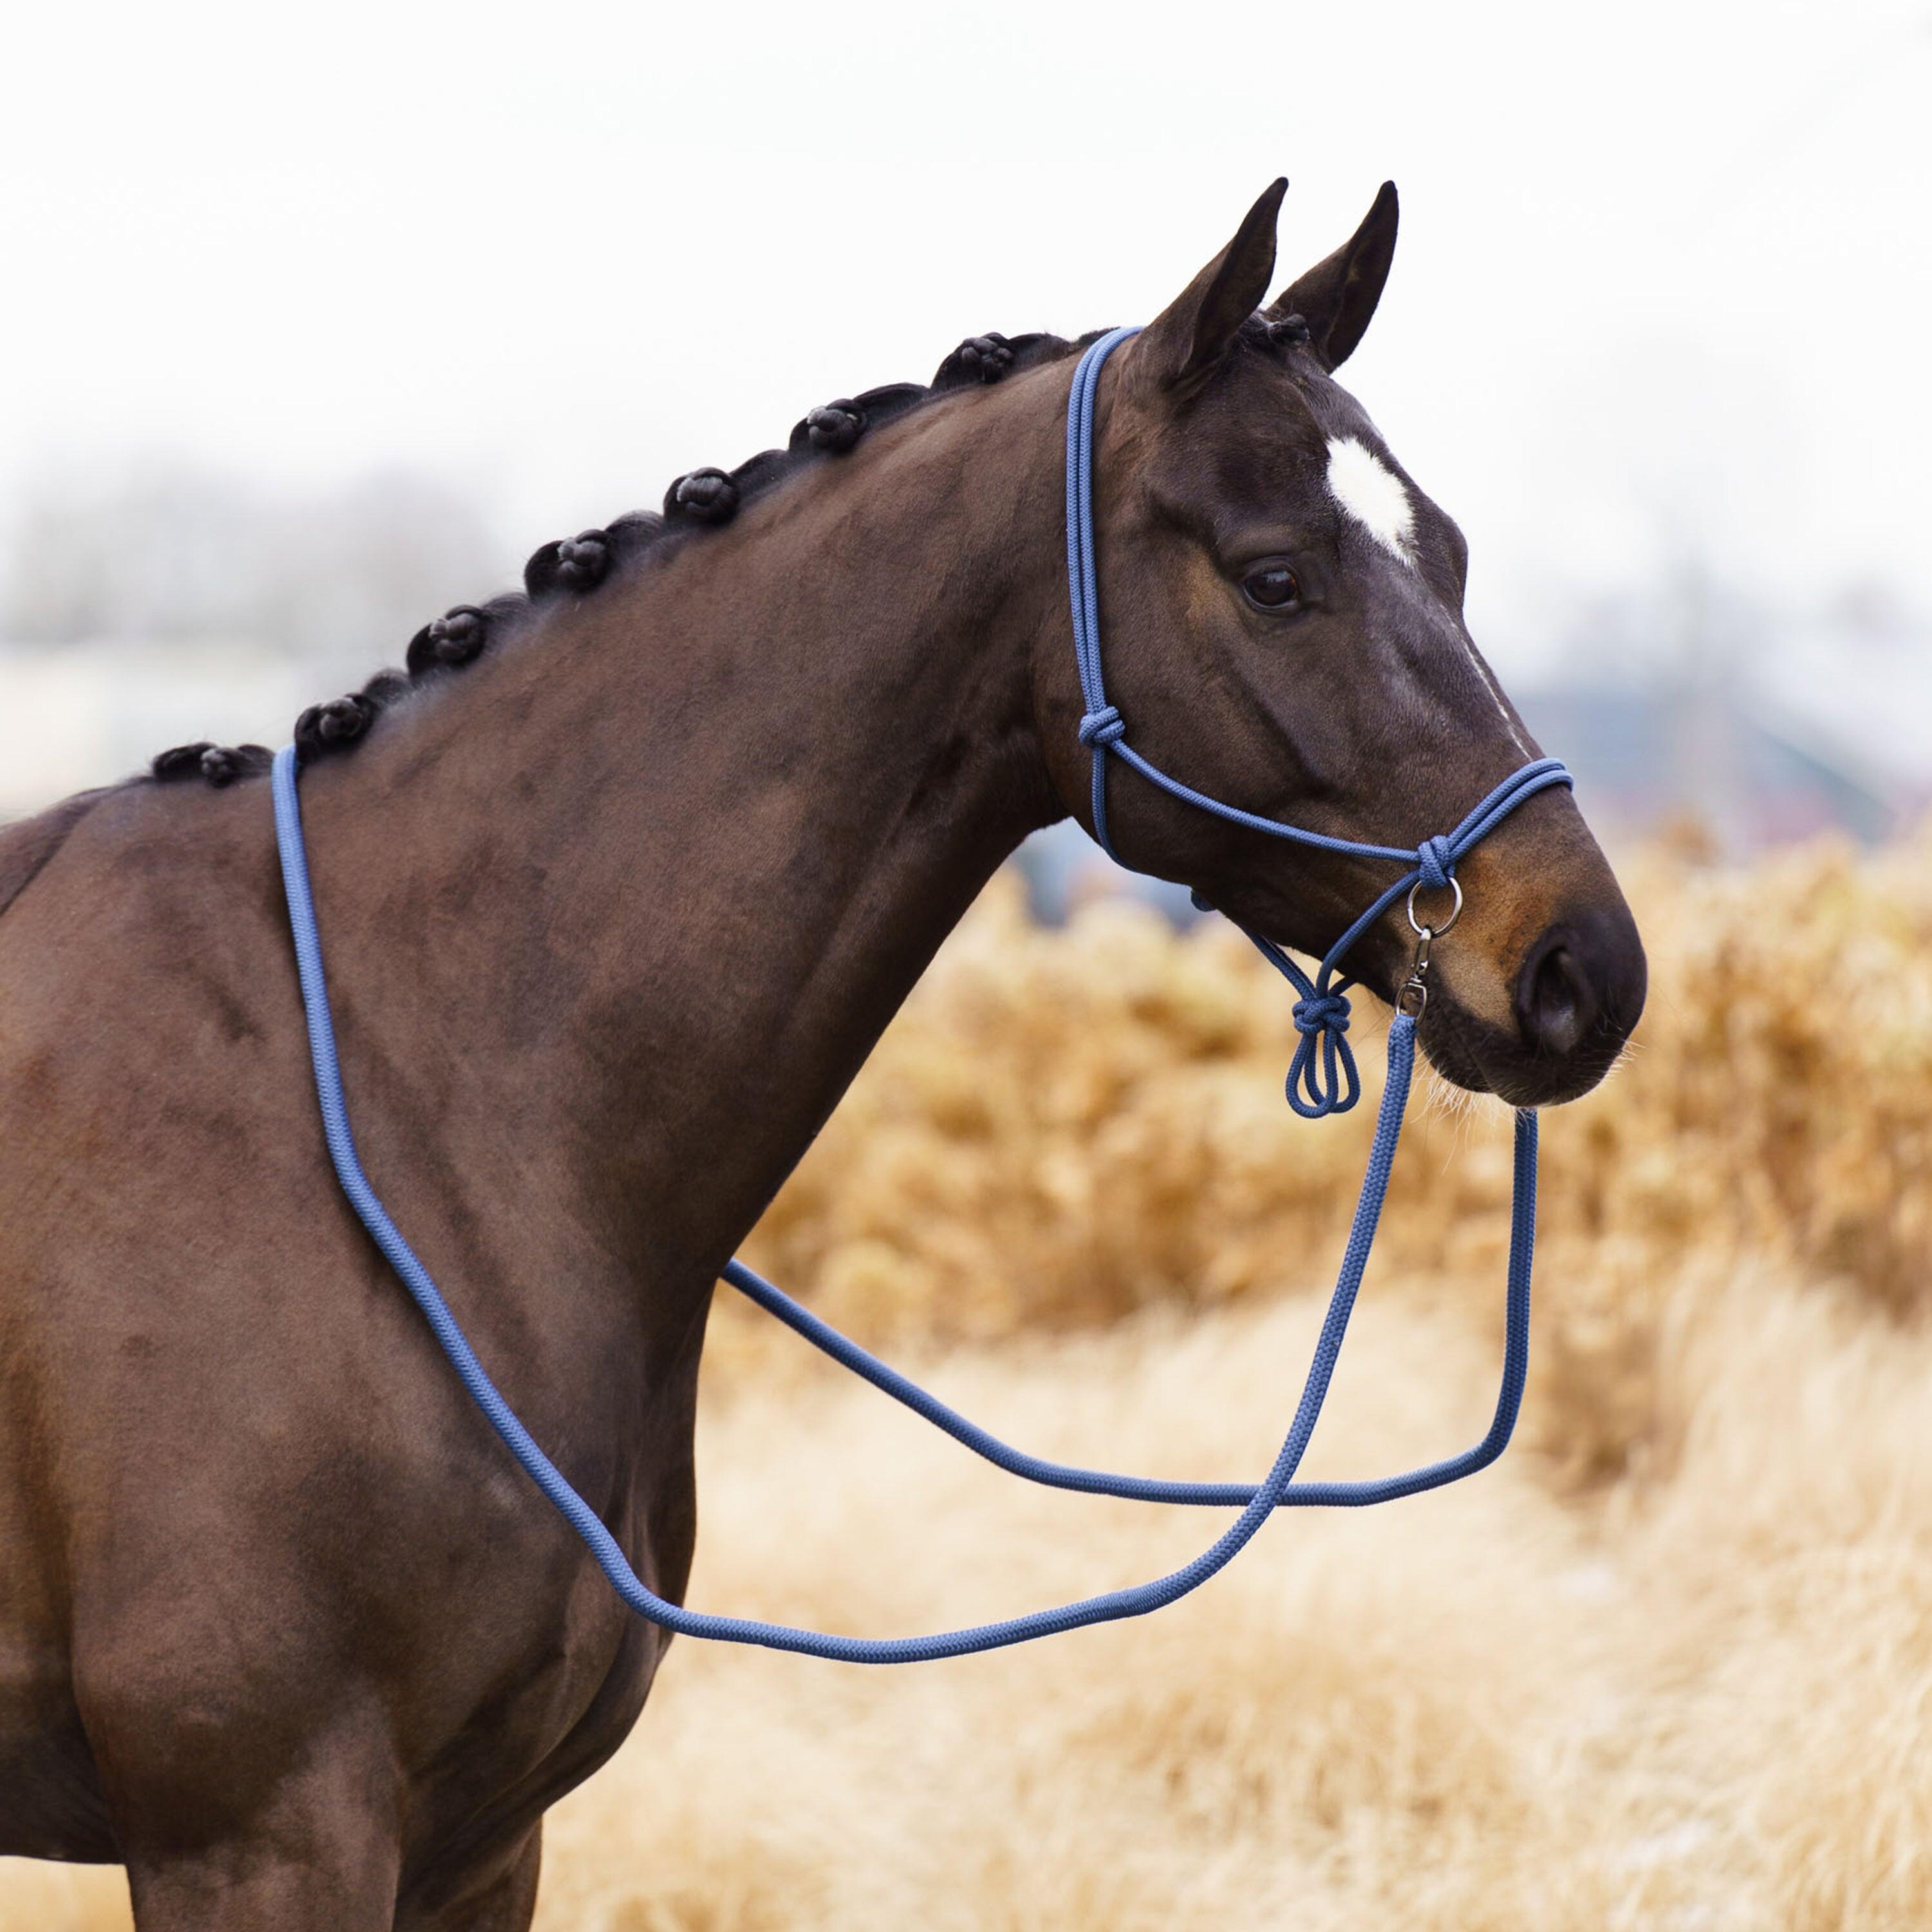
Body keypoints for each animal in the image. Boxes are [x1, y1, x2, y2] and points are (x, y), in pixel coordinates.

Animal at [0, 178, 1645, 1926]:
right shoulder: (262, 1832)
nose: (1580, 972)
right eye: (1273, 577)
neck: (396, 1110)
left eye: (1449, 555)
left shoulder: (479, 1839)